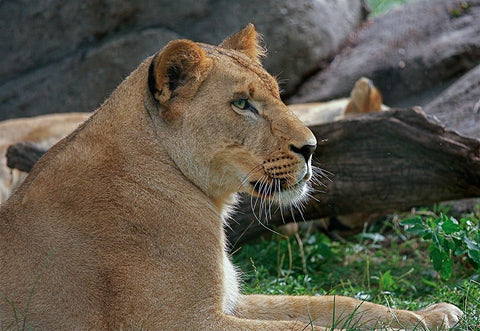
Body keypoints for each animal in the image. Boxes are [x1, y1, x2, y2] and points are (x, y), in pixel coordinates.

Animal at [0, 24, 462, 330]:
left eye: (278, 94)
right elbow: (303, 326)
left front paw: (429, 315)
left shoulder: (226, 301)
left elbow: (331, 304)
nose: (311, 147)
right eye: (242, 104)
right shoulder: (177, 319)